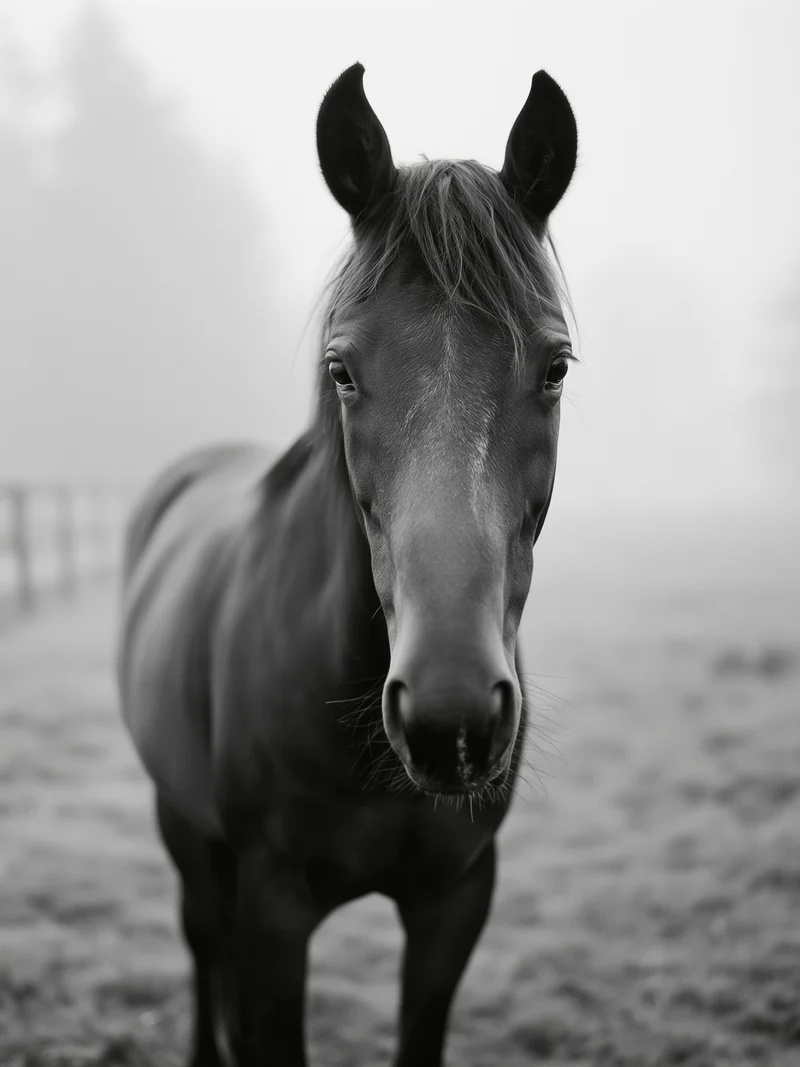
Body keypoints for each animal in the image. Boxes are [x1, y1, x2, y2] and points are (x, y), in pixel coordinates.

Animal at [117, 63, 578, 1067]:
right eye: (342, 370)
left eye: (557, 366)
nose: (451, 719)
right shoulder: (272, 911)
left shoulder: (454, 903)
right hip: (183, 825)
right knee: (199, 940)